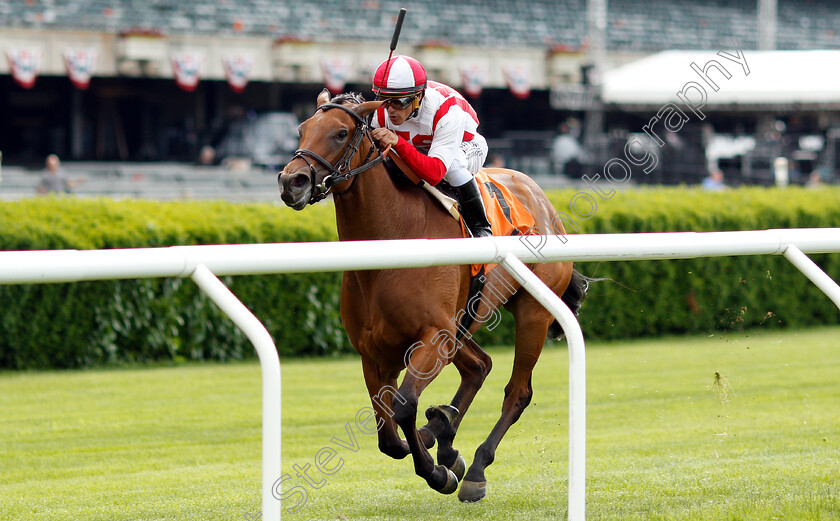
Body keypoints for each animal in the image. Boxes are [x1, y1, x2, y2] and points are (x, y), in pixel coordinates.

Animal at [278, 90, 588, 504]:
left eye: (341, 132)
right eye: (302, 129)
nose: (291, 181)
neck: (394, 238)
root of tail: (544, 202)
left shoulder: (433, 337)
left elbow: (404, 406)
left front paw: (438, 472)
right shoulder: (374, 352)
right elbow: (388, 434)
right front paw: (440, 445)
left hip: (532, 312)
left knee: (517, 392)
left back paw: (474, 469)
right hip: (461, 325)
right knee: (479, 366)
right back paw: (446, 434)